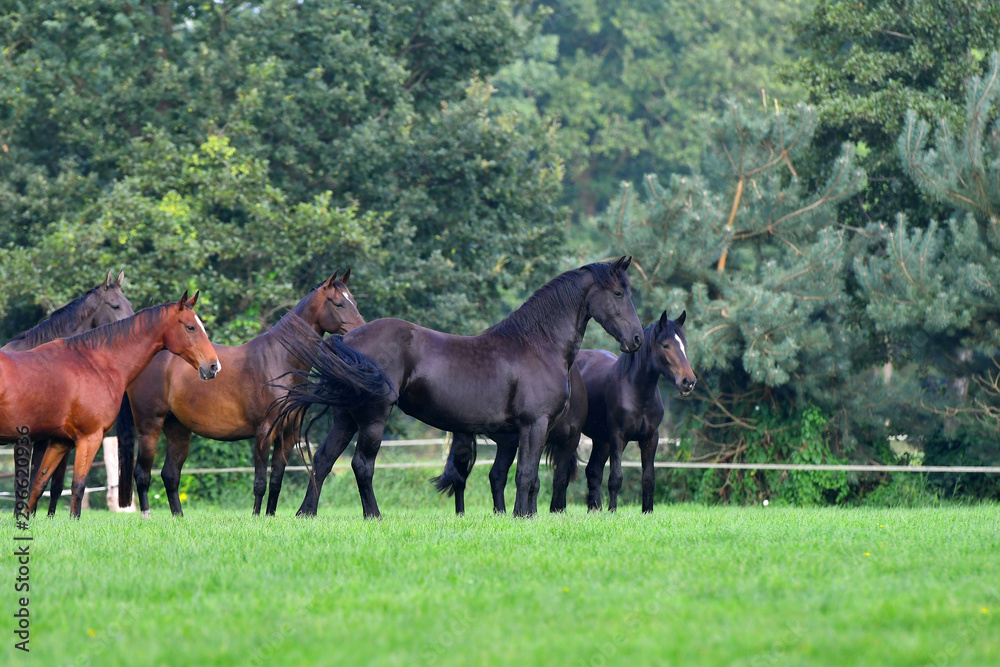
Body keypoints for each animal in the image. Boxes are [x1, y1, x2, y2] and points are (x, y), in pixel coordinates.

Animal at [124, 271, 364, 517]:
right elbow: (260, 482)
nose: (359, 330)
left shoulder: (288, 434)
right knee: (142, 474)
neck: (278, 362)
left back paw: (179, 518)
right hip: (149, 425)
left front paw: (270, 516)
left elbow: (276, 480)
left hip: (178, 429)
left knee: (170, 474)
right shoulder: (264, 432)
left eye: (354, 302)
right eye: (338, 303)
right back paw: (147, 516)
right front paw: (256, 517)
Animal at [274, 257, 644, 519]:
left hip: (346, 417)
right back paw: (374, 516)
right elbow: (525, 475)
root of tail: (348, 339)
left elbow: (531, 477)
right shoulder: (534, 424)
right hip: (373, 417)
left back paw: (306, 513)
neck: (538, 344)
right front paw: (522, 518)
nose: (637, 339)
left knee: (323, 459)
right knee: (362, 465)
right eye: (618, 293)